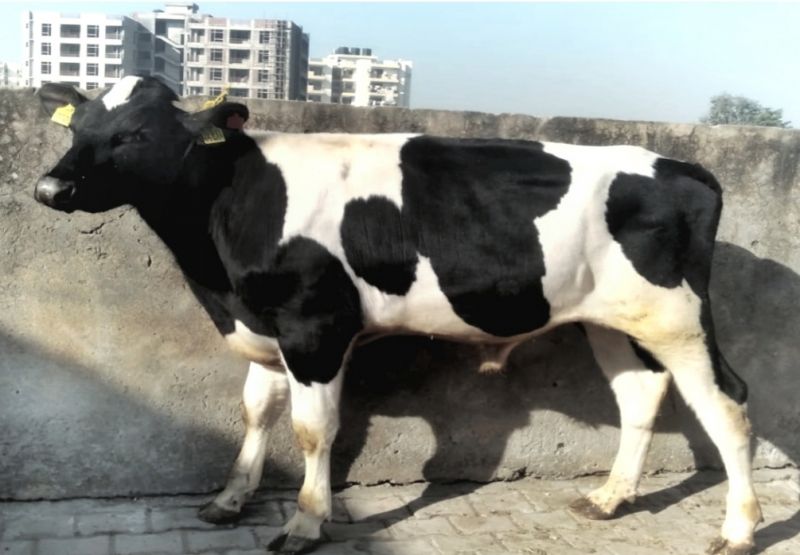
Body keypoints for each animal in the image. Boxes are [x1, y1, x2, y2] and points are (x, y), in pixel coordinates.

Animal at [33, 76, 761, 555]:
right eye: (77, 126)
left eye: (136, 133)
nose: (48, 186)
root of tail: (685, 167)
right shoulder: (268, 325)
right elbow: (256, 413)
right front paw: (229, 499)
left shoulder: (315, 326)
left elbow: (312, 430)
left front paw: (305, 523)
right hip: (611, 319)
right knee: (641, 393)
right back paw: (610, 499)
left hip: (677, 316)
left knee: (727, 403)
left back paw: (738, 529)